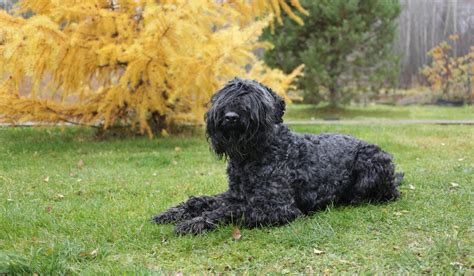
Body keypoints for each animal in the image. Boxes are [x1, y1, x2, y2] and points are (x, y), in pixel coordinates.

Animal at [153, 77, 404, 235]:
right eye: (224, 96)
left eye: (255, 98)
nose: (231, 116)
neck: (252, 156)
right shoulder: (235, 194)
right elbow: (202, 200)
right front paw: (173, 213)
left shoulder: (276, 208)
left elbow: (229, 211)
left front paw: (195, 222)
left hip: (372, 162)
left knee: (386, 195)